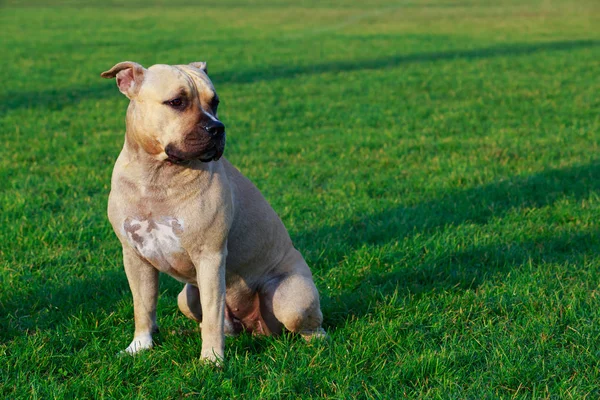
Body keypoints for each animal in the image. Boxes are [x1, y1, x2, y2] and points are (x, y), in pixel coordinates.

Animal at [101, 61, 326, 364]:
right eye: (176, 102)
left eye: (215, 102)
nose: (217, 128)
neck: (157, 176)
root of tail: (257, 329)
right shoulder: (135, 256)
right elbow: (143, 306)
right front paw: (140, 346)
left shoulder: (210, 256)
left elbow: (212, 315)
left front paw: (211, 360)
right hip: (186, 297)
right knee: (221, 322)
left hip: (290, 300)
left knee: (309, 325)